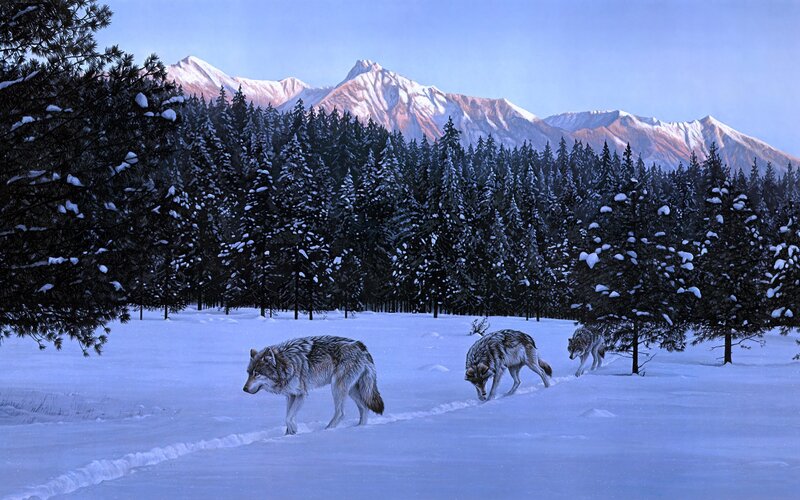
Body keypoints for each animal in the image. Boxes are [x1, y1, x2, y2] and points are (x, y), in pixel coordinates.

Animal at [243, 336, 384, 435]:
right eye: (249, 373)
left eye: (257, 374)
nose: (244, 389)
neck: (287, 364)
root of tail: (360, 345)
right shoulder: (291, 395)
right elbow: (288, 416)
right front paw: (289, 434)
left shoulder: (301, 394)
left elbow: (288, 418)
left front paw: (294, 430)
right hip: (351, 390)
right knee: (364, 408)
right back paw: (359, 428)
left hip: (337, 388)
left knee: (341, 413)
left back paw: (326, 430)